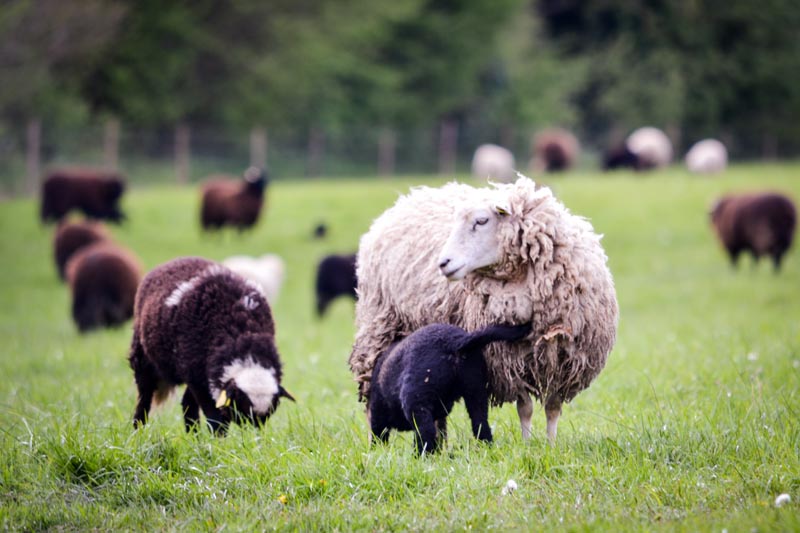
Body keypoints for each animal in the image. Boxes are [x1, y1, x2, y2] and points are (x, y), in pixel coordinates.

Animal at [128, 256, 294, 434]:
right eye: (241, 406)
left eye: (269, 413)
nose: (253, 436)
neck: (243, 338)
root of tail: (177, 260)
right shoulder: (199, 379)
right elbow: (216, 419)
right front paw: (219, 440)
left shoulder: (200, 374)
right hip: (143, 358)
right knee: (144, 399)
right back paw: (138, 431)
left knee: (187, 404)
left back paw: (193, 436)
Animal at [350, 174, 620, 440]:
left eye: (481, 221)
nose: (443, 263)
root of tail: (406, 199)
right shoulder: (507, 360)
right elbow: (525, 407)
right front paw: (527, 444)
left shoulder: (564, 360)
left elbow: (553, 408)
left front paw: (551, 445)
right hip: (379, 327)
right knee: (373, 397)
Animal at [368, 320, 532, 454]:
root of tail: (456, 342)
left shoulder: (378, 411)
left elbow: (379, 433)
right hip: (475, 390)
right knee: (480, 424)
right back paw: (485, 448)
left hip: (415, 398)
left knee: (425, 432)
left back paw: (420, 457)